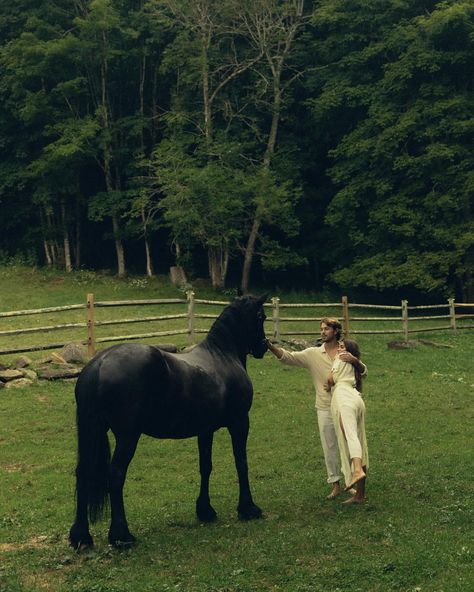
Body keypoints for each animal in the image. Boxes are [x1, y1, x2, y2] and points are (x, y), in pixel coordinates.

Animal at [67, 294, 266, 548]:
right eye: (261, 316)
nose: (263, 347)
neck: (222, 356)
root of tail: (99, 364)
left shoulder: (205, 430)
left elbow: (205, 466)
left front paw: (205, 511)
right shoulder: (240, 423)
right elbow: (241, 463)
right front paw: (248, 508)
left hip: (93, 432)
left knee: (84, 473)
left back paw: (81, 537)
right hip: (128, 437)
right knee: (116, 475)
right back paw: (122, 536)